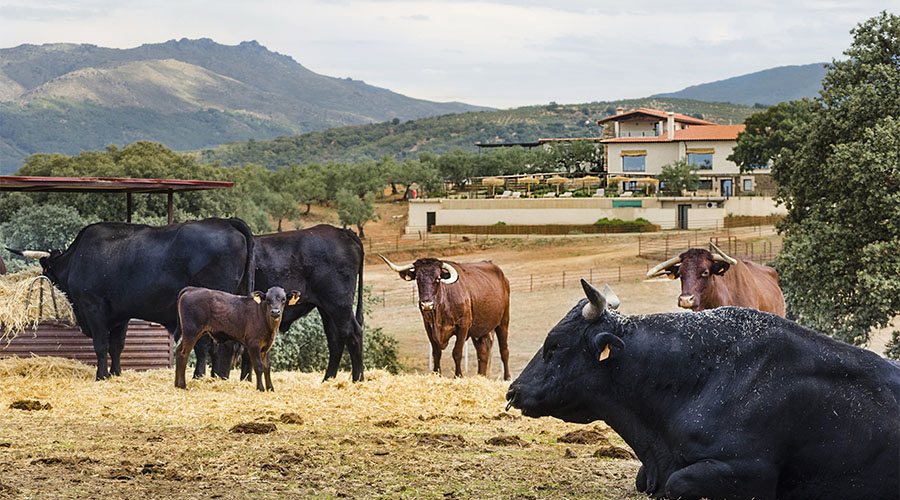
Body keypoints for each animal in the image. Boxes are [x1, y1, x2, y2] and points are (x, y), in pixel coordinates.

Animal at [11, 219, 253, 378]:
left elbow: (101, 345)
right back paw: (217, 377)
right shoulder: (121, 314)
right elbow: (117, 346)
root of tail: (226, 222)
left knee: (211, 345)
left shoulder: (93, 306)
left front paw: (101, 376)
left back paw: (202, 376)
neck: (76, 258)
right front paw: (116, 373)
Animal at [378, 256, 510, 380]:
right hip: (479, 330)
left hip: (503, 321)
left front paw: (458, 376)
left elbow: (457, 352)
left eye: (437, 278)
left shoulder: (463, 326)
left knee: (504, 351)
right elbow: (436, 353)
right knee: (482, 354)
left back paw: (507, 378)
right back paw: (481, 376)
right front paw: (437, 374)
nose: (426, 304)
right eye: (418, 278)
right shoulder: (429, 327)